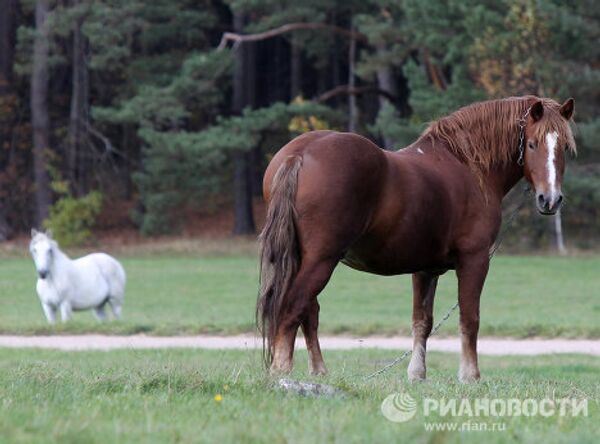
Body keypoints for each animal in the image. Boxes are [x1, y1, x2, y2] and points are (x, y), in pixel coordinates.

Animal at [258, 96, 576, 382]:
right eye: (532, 144)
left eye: (563, 146)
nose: (550, 200)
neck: (467, 165)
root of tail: (300, 154)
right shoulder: (474, 260)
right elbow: (469, 318)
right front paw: (470, 376)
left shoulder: (425, 269)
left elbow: (422, 322)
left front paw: (417, 374)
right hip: (322, 259)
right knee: (293, 306)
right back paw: (281, 370)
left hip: (304, 257)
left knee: (308, 311)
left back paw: (318, 371)